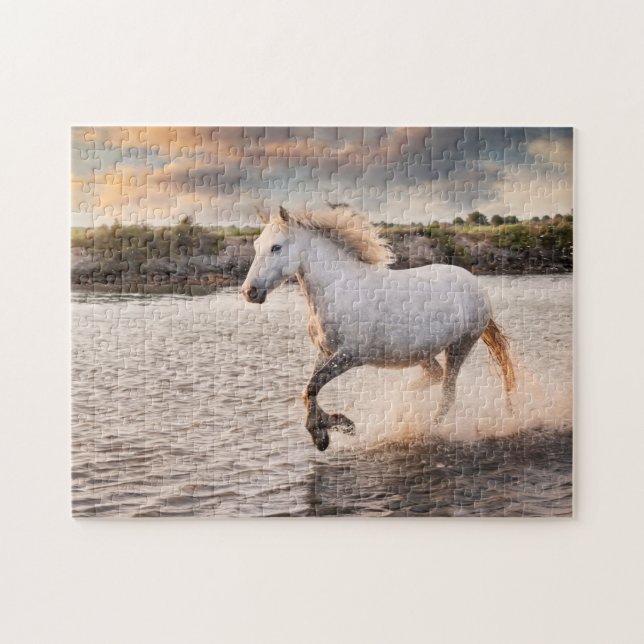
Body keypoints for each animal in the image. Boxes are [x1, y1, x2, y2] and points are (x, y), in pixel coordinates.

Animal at [241, 206, 516, 451]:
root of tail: (476, 285)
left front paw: (326, 433)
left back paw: (426, 430)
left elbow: (312, 387)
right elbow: (308, 390)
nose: (249, 292)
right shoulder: (325, 352)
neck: (339, 290)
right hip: (422, 353)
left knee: (447, 394)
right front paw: (337, 426)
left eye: (276, 247)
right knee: (434, 378)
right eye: (256, 246)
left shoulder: (350, 356)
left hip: (460, 346)